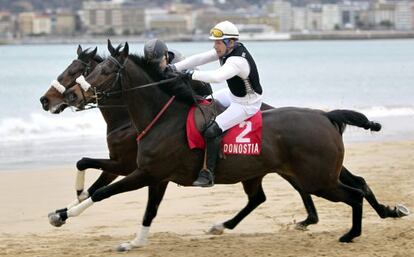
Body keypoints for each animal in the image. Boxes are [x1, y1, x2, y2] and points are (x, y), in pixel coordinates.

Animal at [55, 41, 408, 248]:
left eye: (104, 69)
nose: (69, 95)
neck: (161, 116)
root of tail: (326, 116)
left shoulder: (146, 172)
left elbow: (104, 191)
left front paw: (63, 213)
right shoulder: (154, 175)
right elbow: (147, 209)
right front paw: (134, 242)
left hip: (317, 178)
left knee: (353, 193)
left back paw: (351, 233)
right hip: (293, 172)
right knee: (273, 196)